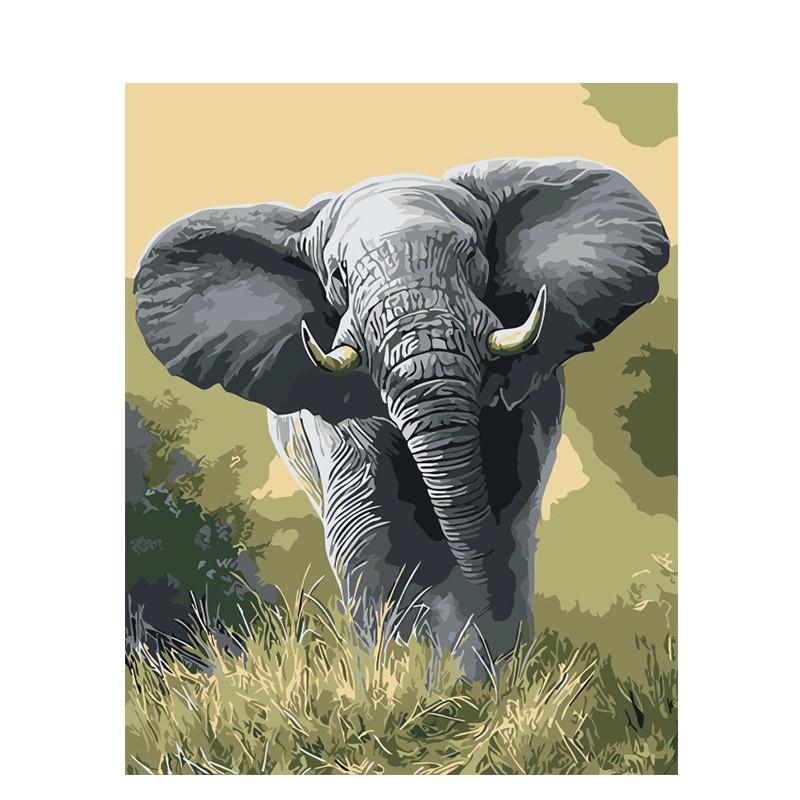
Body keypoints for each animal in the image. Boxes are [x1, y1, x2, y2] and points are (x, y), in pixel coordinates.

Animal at [133, 157, 669, 677]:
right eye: (338, 276)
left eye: (471, 258)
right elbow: (369, 531)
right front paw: (399, 675)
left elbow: (509, 512)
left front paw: (483, 679)